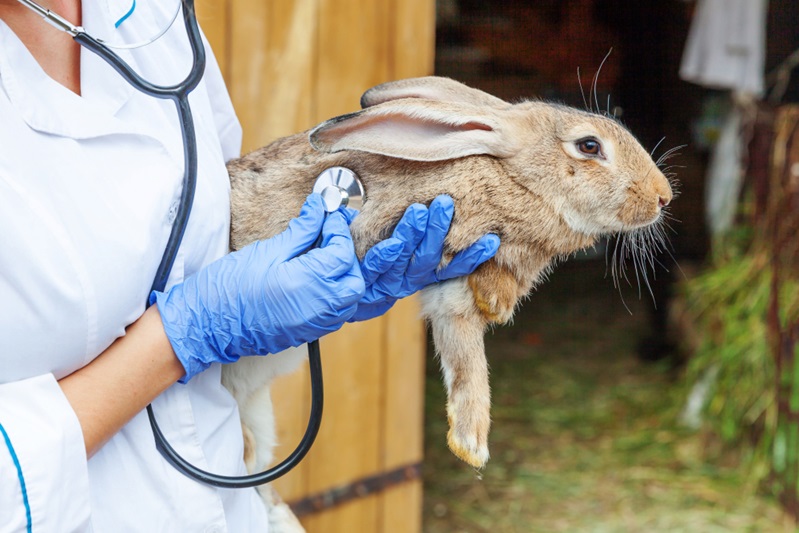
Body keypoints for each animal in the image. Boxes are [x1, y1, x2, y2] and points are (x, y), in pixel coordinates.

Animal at [220, 76, 676, 474]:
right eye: (589, 145)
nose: (663, 196)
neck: (517, 180)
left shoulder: (452, 286)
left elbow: (463, 352)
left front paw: (467, 445)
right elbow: (469, 354)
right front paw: (473, 446)